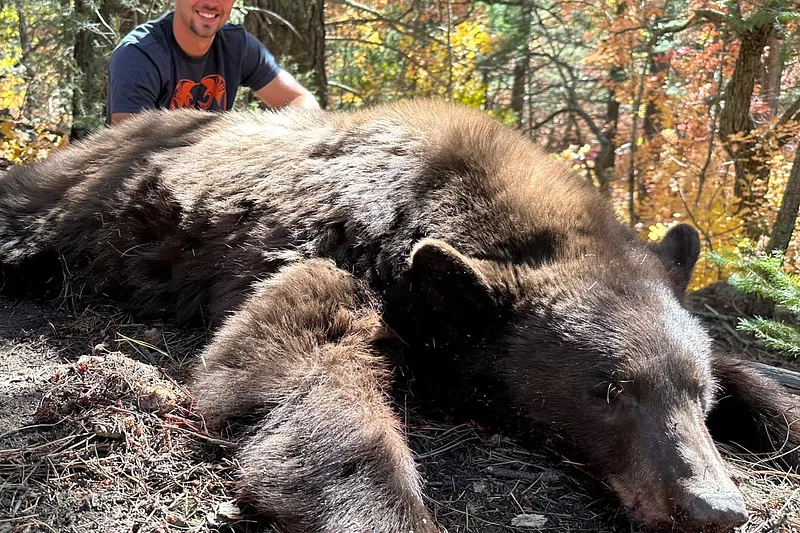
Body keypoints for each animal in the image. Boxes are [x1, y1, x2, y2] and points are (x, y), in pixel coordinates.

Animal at [1, 99, 798, 532]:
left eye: (700, 394)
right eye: (606, 391)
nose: (715, 507)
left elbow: (745, 368)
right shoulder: (330, 262)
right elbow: (294, 363)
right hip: (64, 207)